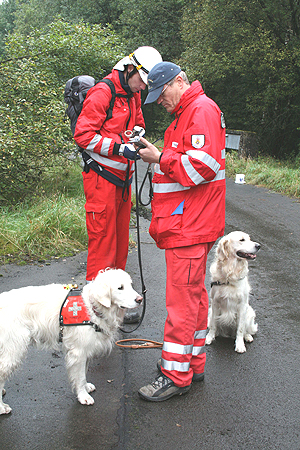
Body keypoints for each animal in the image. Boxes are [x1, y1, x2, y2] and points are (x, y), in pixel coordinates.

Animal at [0, 268, 142, 414]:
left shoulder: (86, 350)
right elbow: (80, 376)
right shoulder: (78, 352)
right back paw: (2, 406)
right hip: (14, 348)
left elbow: (84, 372)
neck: (91, 307)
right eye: (120, 287)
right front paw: (83, 396)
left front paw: (86, 387)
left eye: (130, 285)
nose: (140, 299)